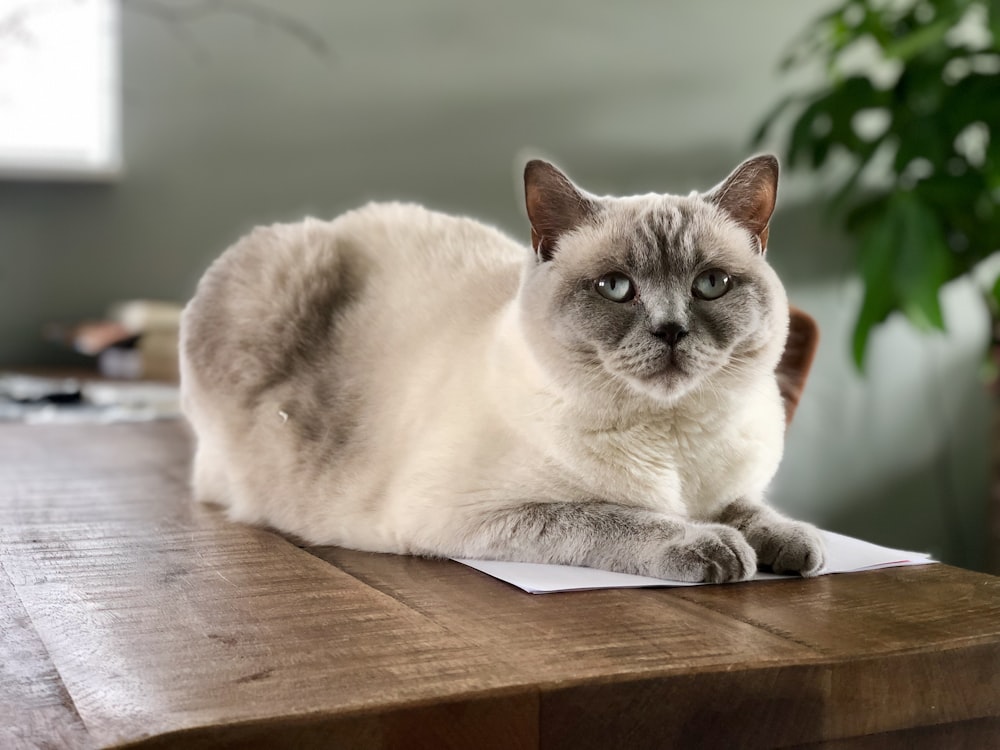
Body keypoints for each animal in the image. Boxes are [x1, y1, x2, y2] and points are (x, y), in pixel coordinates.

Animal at [180, 156, 828, 584]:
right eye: (616, 287)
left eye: (710, 284)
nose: (671, 330)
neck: (672, 440)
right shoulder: (482, 513)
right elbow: (622, 519)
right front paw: (719, 551)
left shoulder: (729, 488)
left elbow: (754, 510)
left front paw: (796, 547)